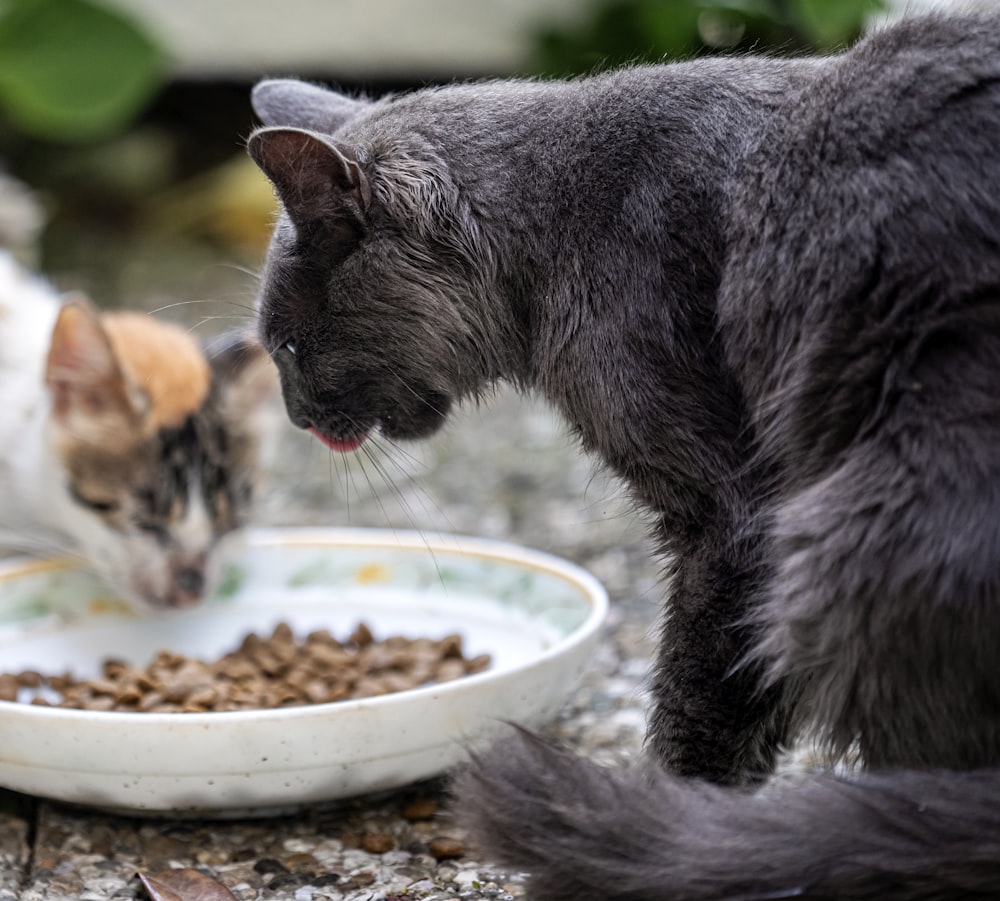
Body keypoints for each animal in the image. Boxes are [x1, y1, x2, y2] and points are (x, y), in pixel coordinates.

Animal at [246, 10, 1000, 896]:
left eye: (291, 346)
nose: (296, 416)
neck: (557, 224)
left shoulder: (735, 515)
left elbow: (703, 698)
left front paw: (670, 821)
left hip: (848, 535)